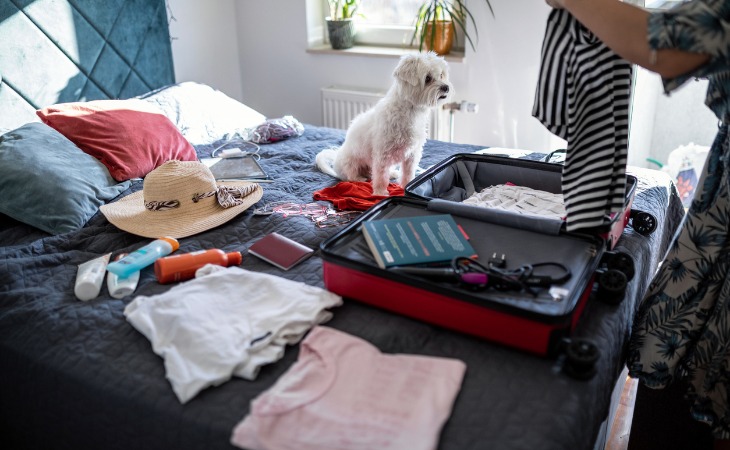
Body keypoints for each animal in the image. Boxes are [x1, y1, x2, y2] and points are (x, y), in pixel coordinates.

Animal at [318, 51, 452, 195]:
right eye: (427, 78)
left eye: (441, 75)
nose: (446, 87)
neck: (410, 112)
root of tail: (336, 159)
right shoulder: (382, 154)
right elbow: (381, 176)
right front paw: (380, 193)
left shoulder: (412, 155)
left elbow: (408, 174)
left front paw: (406, 186)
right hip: (351, 163)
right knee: (352, 175)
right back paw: (359, 179)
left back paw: (392, 173)